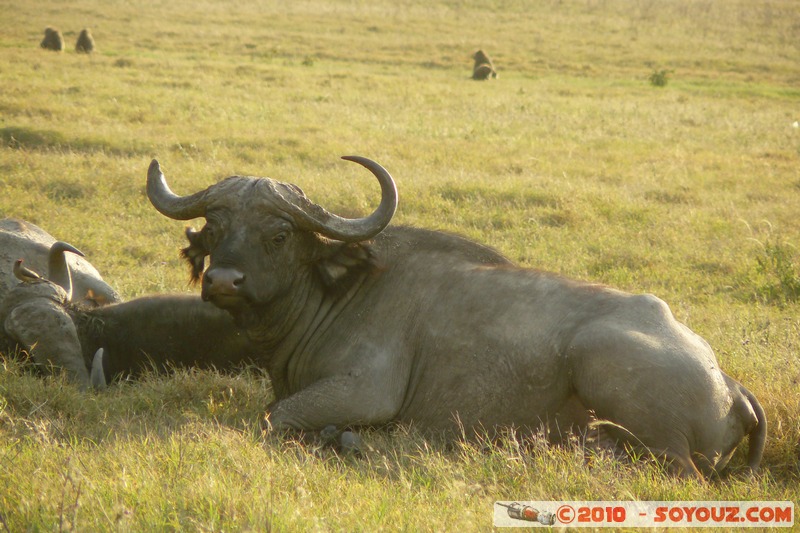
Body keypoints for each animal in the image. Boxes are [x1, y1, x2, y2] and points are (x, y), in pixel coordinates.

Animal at [145, 156, 768, 476]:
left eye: (277, 234)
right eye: (217, 228)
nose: (224, 282)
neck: (337, 293)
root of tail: (730, 385)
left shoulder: (364, 391)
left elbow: (274, 417)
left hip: (605, 364)